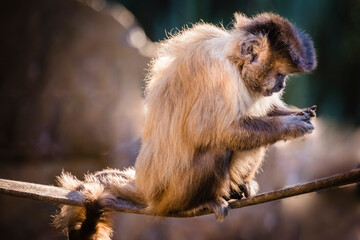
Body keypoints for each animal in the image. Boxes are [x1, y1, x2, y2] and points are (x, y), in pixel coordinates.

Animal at [53, 12, 318, 239]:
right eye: (279, 74)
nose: (282, 84)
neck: (232, 59)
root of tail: (146, 188)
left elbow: (265, 111)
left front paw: (299, 114)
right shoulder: (218, 73)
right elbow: (216, 132)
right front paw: (291, 125)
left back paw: (236, 189)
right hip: (174, 192)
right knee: (217, 147)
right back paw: (202, 202)